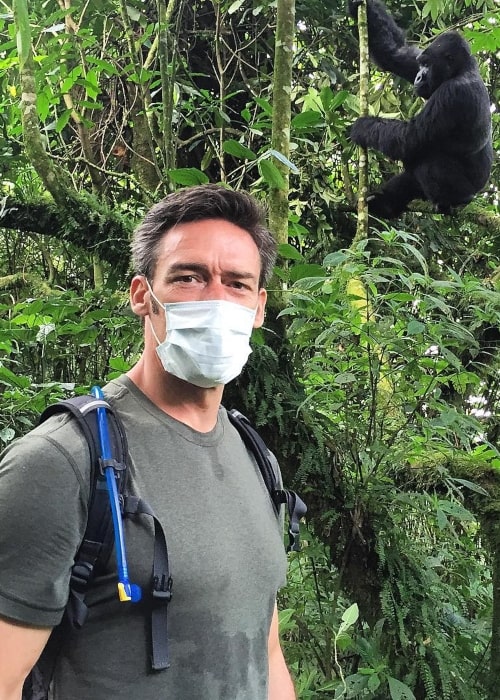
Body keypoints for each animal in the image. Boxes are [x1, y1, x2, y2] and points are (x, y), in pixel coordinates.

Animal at [348, 0, 492, 219]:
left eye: (428, 65)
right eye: (421, 64)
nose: (418, 77)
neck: (462, 69)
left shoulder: (453, 94)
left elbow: (411, 137)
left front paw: (363, 127)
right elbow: (394, 53)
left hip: (467, 190)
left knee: (427, 159)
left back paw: (455, 200)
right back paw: (385, 204)